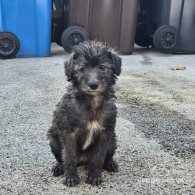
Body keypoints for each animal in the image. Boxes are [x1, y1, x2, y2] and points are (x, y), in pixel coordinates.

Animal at [47, 40, 121, 187]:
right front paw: (71, 177)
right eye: (82, 68)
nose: (93, 85)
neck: (92, 102)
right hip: (53, 140)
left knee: (107, 157)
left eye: (102, 67)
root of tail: (83, 161)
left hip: (112, 142)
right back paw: (59, 167)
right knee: (61, 159)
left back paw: (110, 164)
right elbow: (69, 157)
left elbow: (98, 157)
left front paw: (94, 176)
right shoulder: (69, 133)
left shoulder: (105, 134)